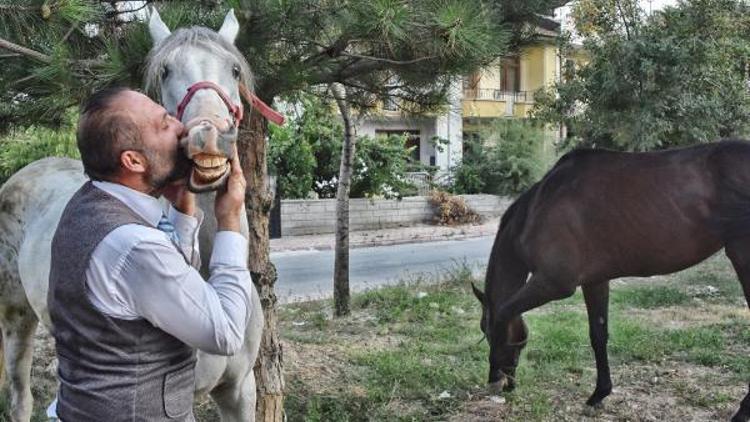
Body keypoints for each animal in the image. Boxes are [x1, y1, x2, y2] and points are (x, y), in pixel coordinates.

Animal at [0, 9, 268, 422]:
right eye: (166, 71)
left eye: (235, 69)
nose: (207, 135)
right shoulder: (177, 402)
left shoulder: (239, 390)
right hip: (15, 314)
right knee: (20, 397)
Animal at [476, 140, 750, 420]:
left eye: (484, 329)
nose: (501, 381)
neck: (539, 207)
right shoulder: (595, 281)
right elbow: (598, 335)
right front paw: (599, 393)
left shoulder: (554, 284)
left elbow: (504, 312)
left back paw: (742, 411)